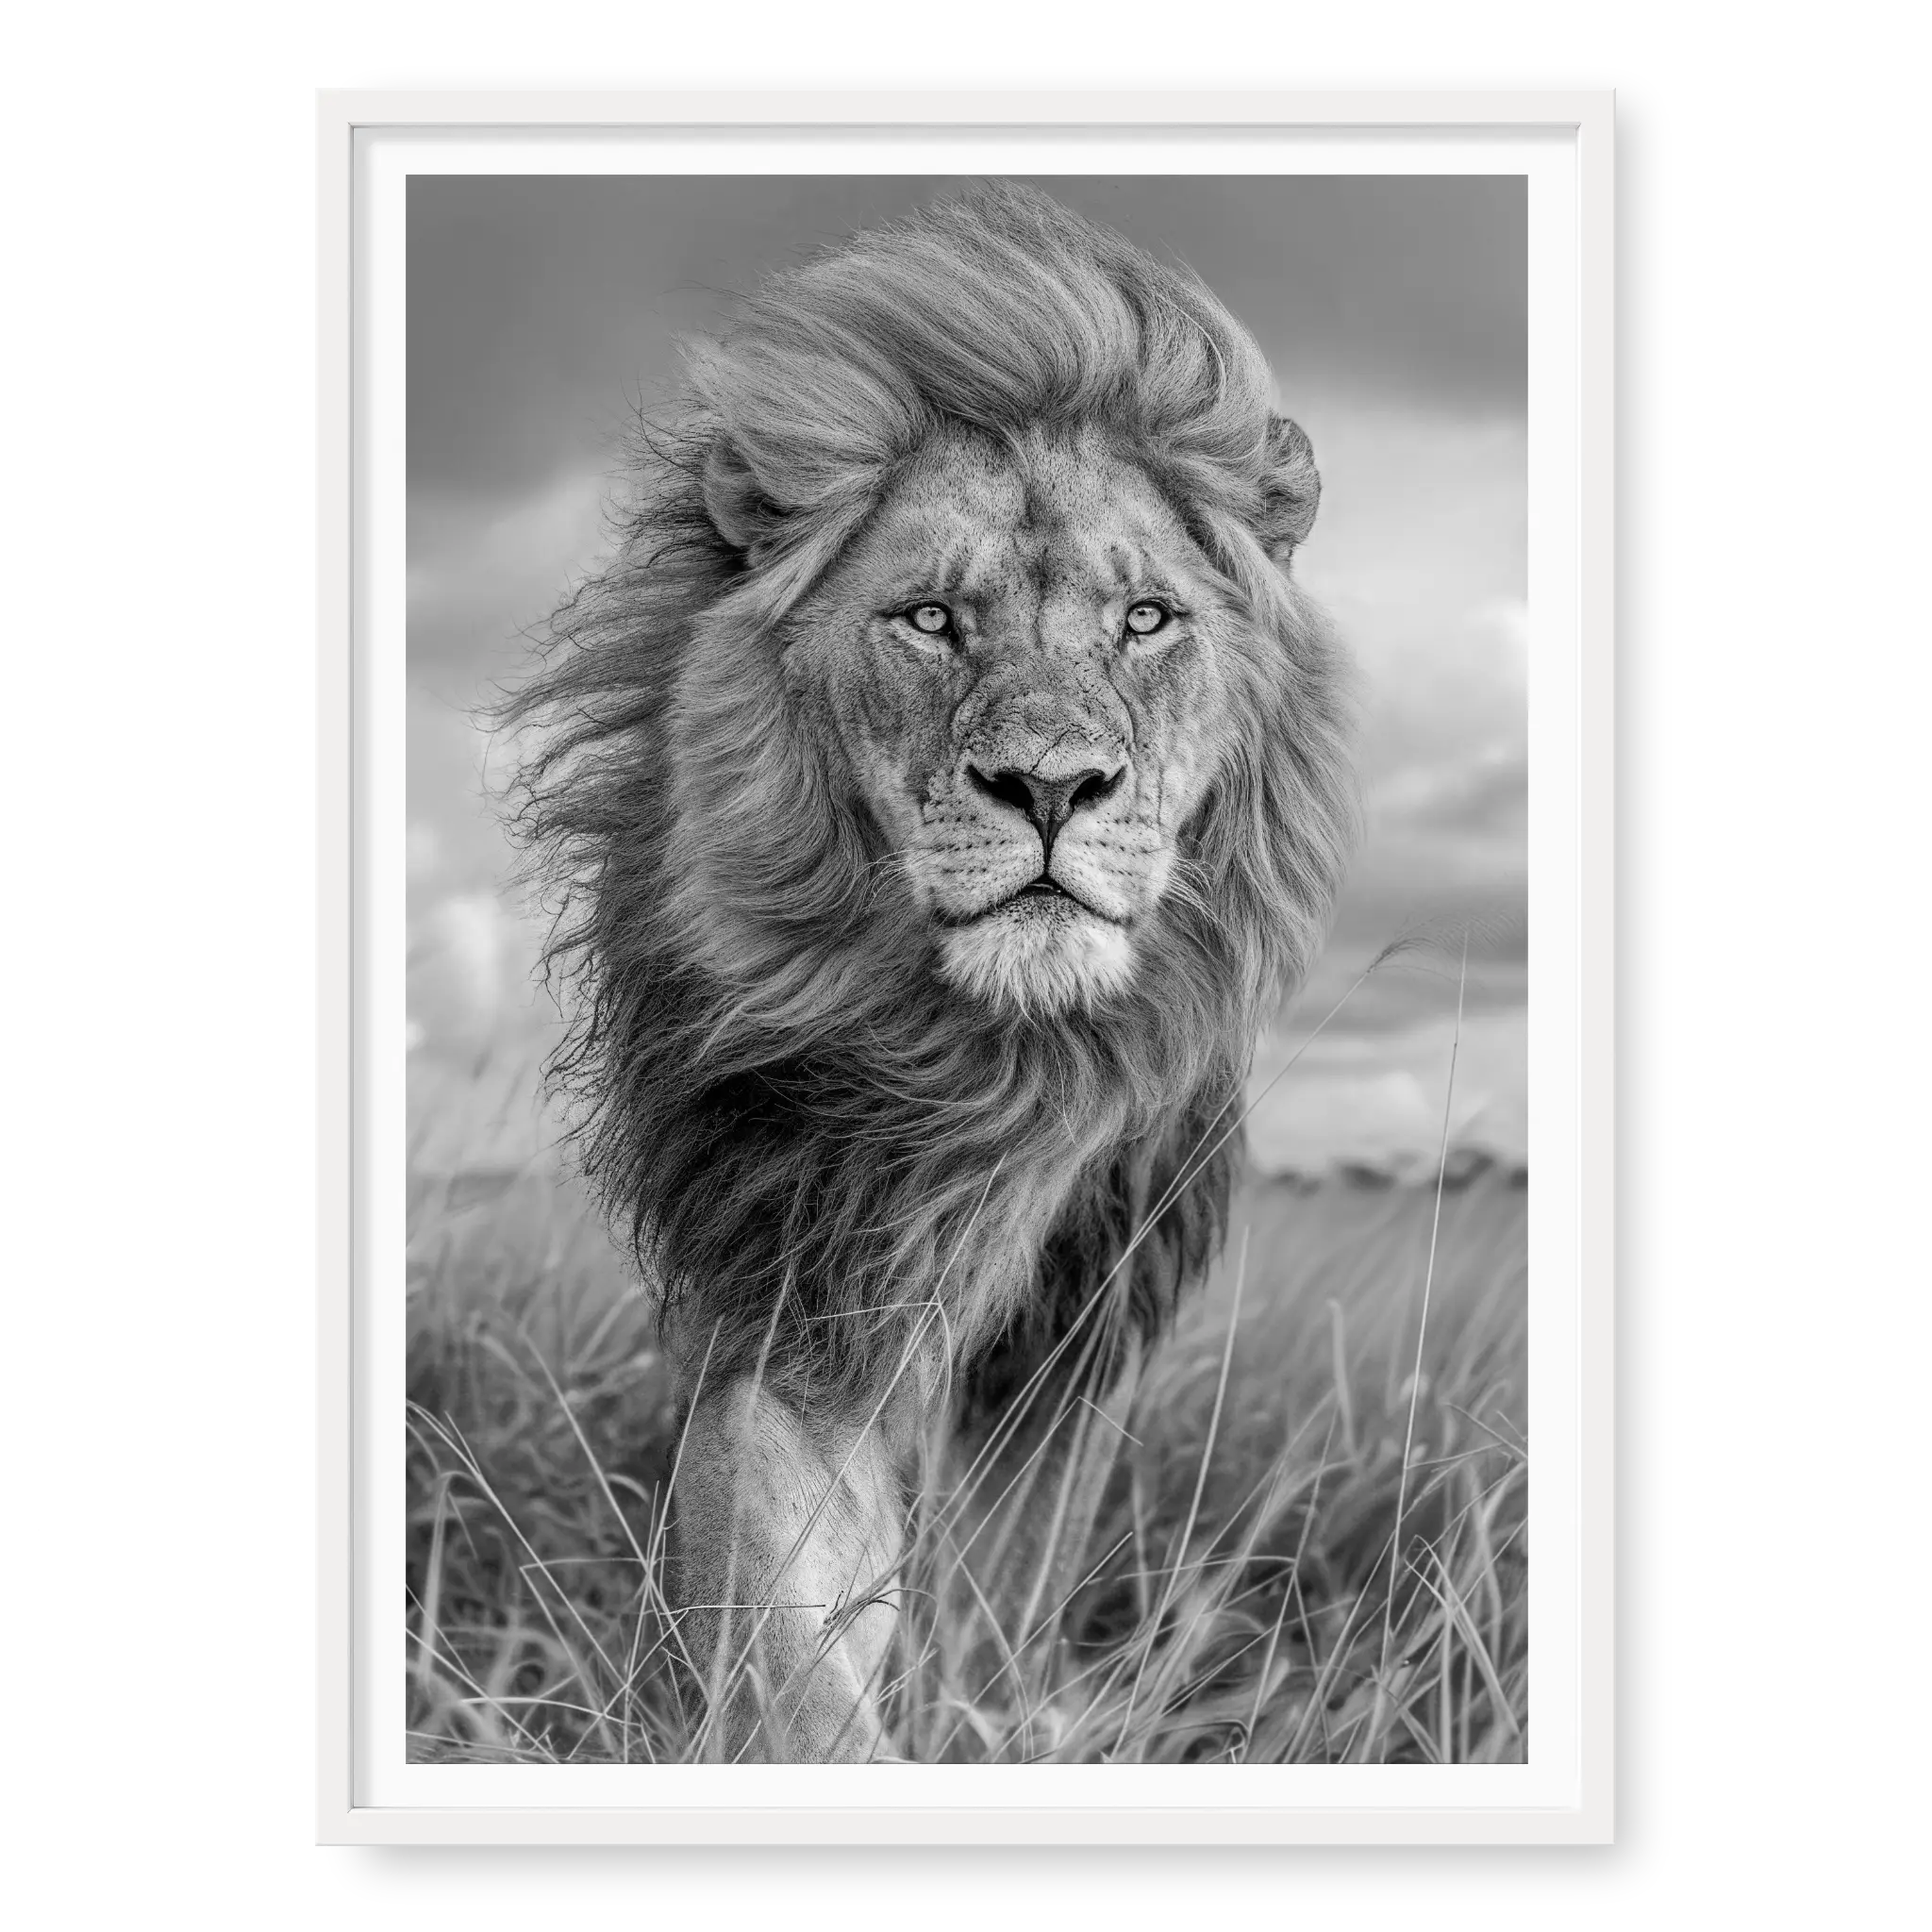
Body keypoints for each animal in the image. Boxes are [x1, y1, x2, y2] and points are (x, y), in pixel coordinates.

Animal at [502, 182, 1357, 1762]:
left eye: (1146, 620)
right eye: (930, 620)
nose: (1052, 786)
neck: (980, 1058)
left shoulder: (1078, 1321)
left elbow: (999, 1587)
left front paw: (992, 1721)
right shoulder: (796, 1276)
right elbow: (780, 1620)